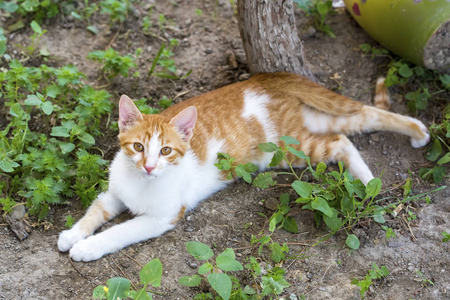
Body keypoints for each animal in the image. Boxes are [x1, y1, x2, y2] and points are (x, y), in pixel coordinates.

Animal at [58, 72, 430, 260]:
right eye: (137, 147)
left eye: (165, 151)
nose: (149, 166)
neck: (143, 184)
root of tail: (265, 79)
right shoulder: (114, 192)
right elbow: (95, 210)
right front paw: (73, 234)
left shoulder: (163, 217)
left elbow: (120, 231)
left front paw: (87, 247)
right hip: (307, 124)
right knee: (360, 118)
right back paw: (417, 132)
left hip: (288, 149)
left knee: (341, 141)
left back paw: (368, 181)